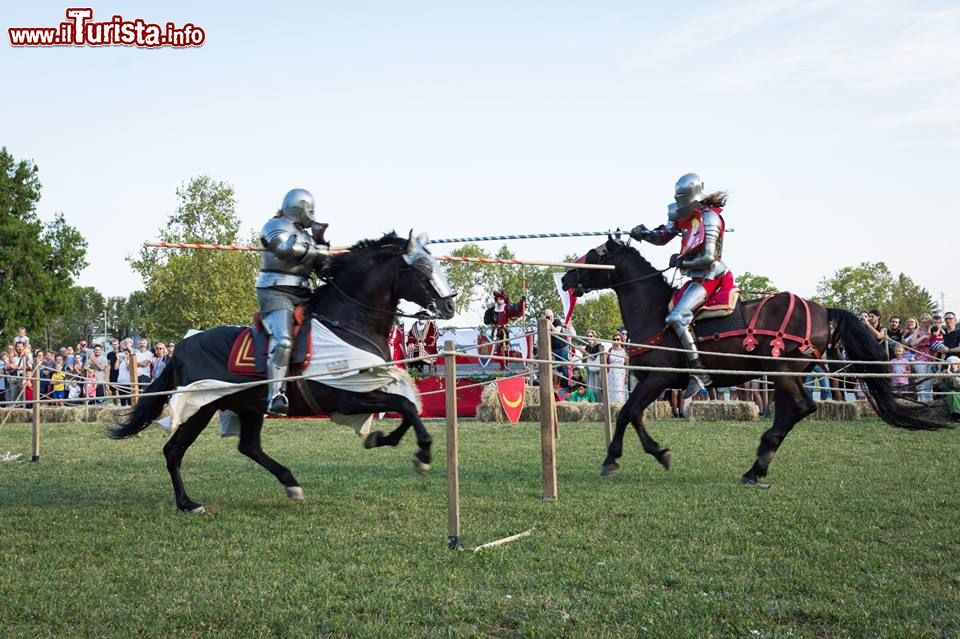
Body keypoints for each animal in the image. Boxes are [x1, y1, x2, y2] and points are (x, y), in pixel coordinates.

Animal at [110, 231, 456, 516]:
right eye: (423, 270)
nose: (449, 307)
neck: (346, 324)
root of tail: (182, 346)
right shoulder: (348, 399)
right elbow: (405, 405)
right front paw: (422, 456)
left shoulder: (372, 387)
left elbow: (408, 406)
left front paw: (383, 439)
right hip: (200, 407)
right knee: (174, 450)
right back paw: (188, 503)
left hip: (247, 407)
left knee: (248, 446)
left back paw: (291, 483)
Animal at [564, 238, 944, 488]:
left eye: (597, 253)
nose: (567, 277)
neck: (655, 313)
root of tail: (824, 311)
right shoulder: (652, 383)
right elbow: (632, 415)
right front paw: (644, 453)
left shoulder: (657, 380)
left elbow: (628, 413)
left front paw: (625, 456)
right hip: (785, 374)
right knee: (791, 411)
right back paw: (758, 465)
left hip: (782, 372)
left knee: (801, 408)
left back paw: (758, 462)